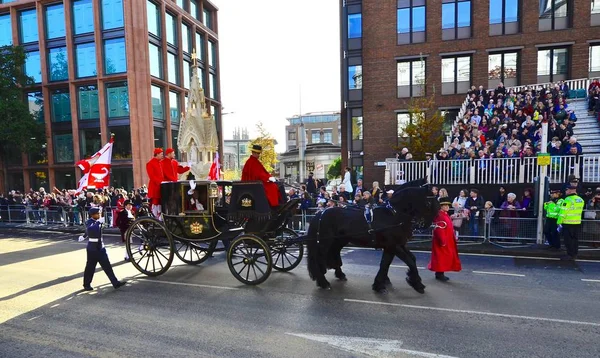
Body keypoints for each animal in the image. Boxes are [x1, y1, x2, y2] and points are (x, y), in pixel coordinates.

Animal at [308, 179, 438, 294]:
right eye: (429, 202)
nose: (427, 224)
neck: (393, 214)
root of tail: (320, 213)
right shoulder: (392, 245)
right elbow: (399, 262)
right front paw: (415, 284)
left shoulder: (397, 245)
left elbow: (405, 260)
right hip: (325, 242)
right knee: (319, 259)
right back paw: (323, 282)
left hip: (338, 241)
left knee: (334, 254)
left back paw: (339, 274)